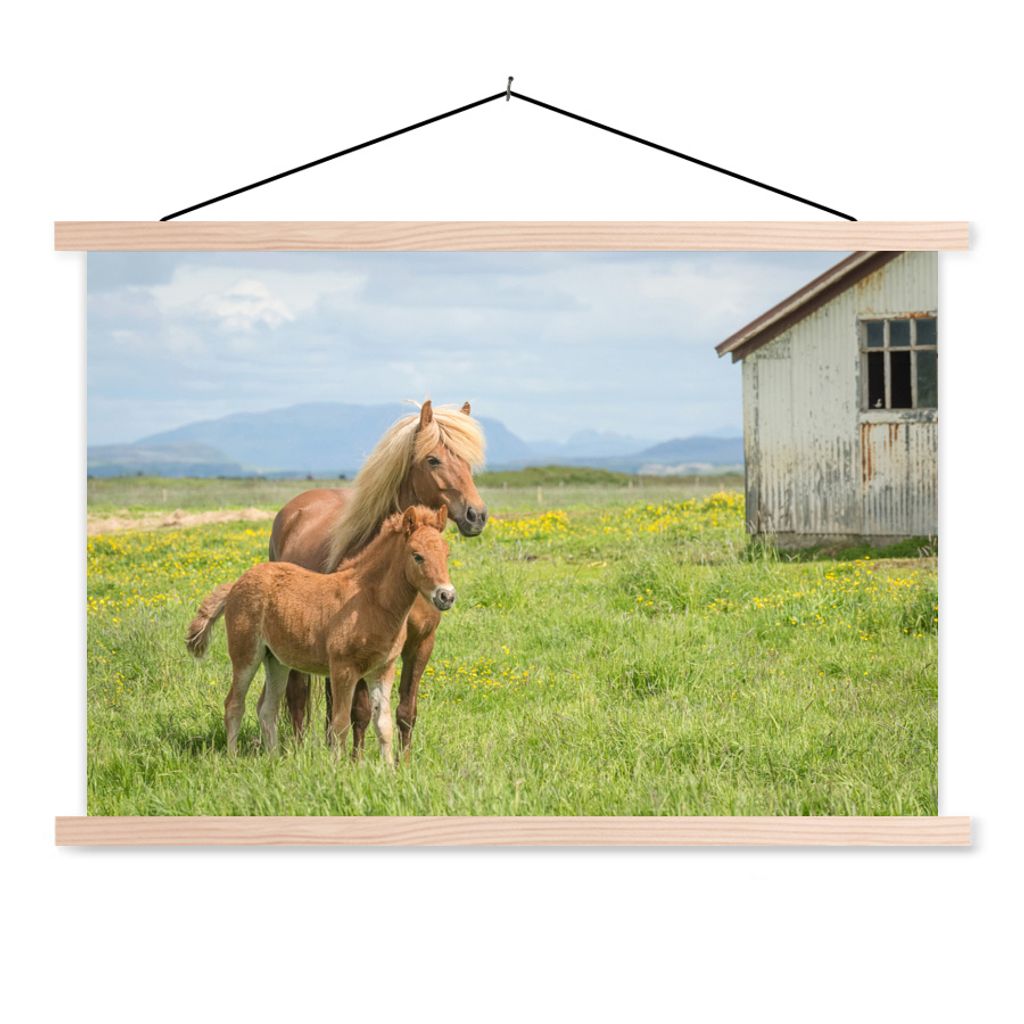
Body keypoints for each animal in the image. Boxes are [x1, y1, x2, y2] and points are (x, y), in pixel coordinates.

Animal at [186, 506, 455, 762]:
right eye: (417, 556)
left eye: (447, 554)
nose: (446, 596)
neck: (370, 600)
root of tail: (236, 584)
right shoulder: (343, 669)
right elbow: (340, 724)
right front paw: (338, 768)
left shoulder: (382, 669)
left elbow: (383, 724)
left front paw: (388, 769)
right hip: (246, 654)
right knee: (234, 704)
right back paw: (233, 758)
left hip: (276, 661)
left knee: (267, 709)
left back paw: (274, 760)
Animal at [266, 400, 487, 759]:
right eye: (433, 459)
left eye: (468, 461)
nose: (476, 515)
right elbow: (360, 711)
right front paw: (356, 762)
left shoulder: (420, 644)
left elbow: (406, 711)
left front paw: (405, 762)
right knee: (298, 695)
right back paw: (299, 751)